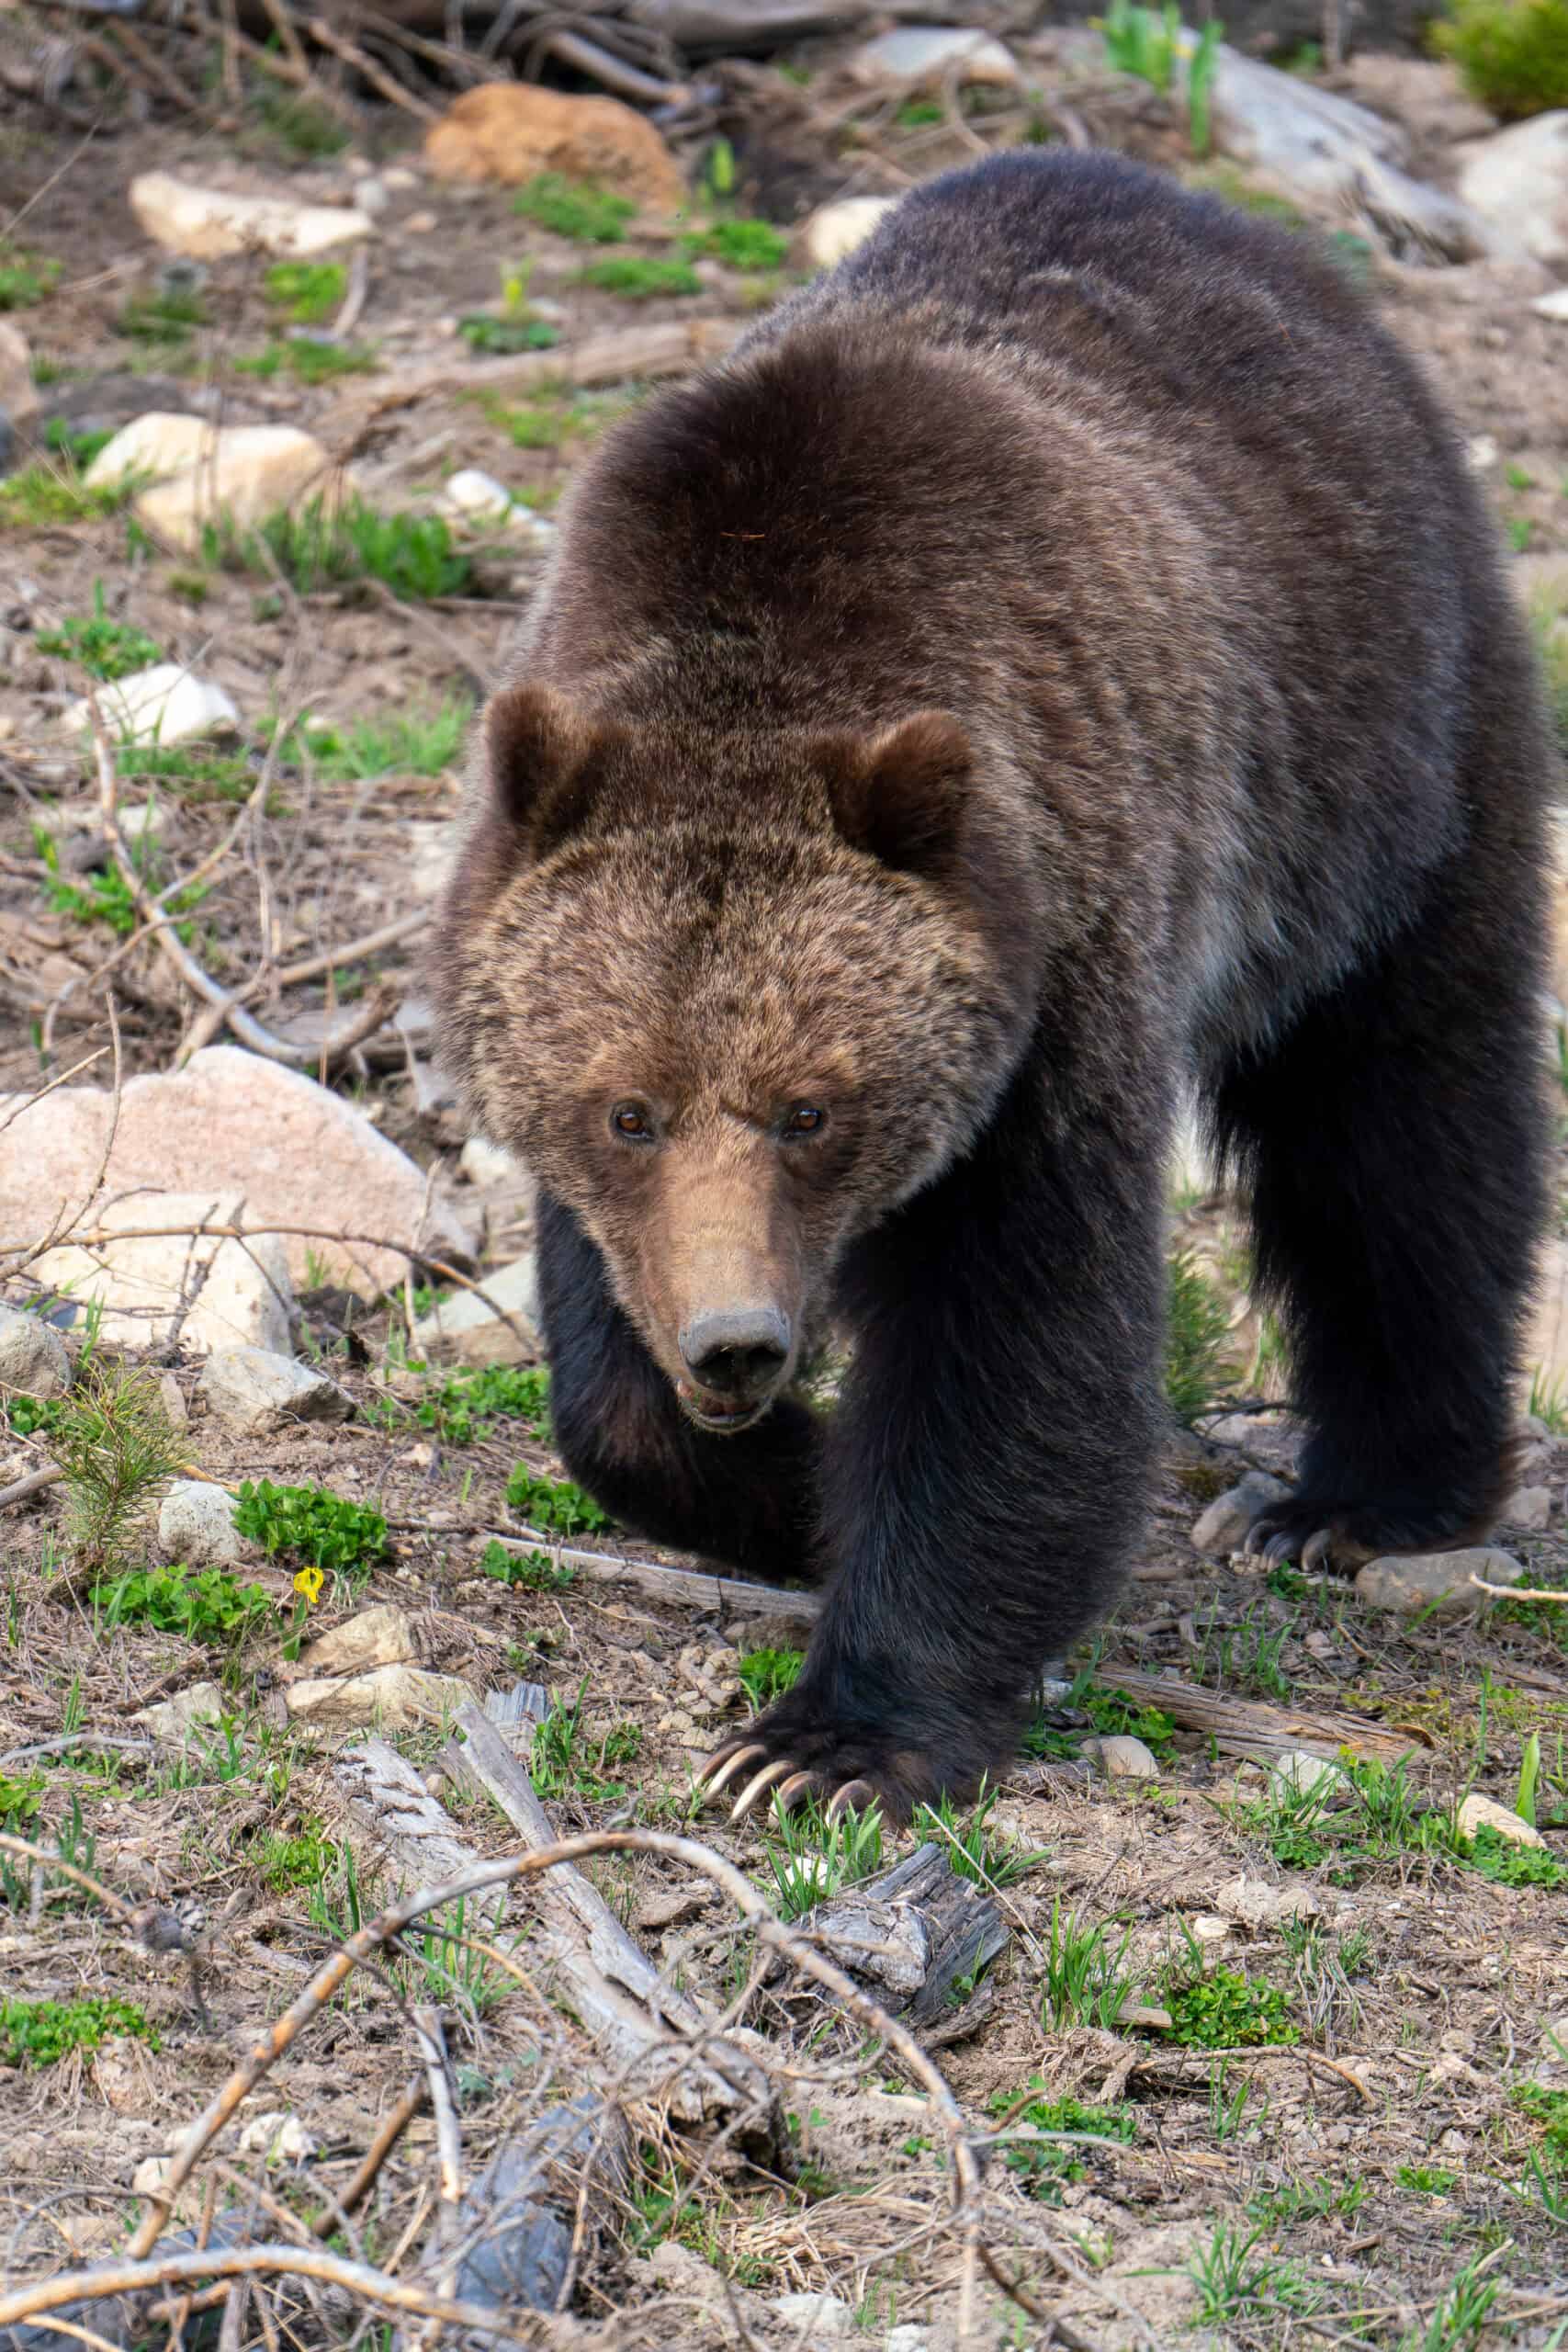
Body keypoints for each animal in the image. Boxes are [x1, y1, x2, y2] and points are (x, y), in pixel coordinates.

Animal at [434, 149, 1552, 1823]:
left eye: (812, 1110)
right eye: (628, 1110)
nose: (738, 1345)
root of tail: (1266, 248)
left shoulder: (1056, 985)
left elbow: (1016, 1346)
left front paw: (824, 1742)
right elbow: (606, 1363)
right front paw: (783, 1486)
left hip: (1379, 768)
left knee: (1401, 1134)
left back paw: (1355, 1499)